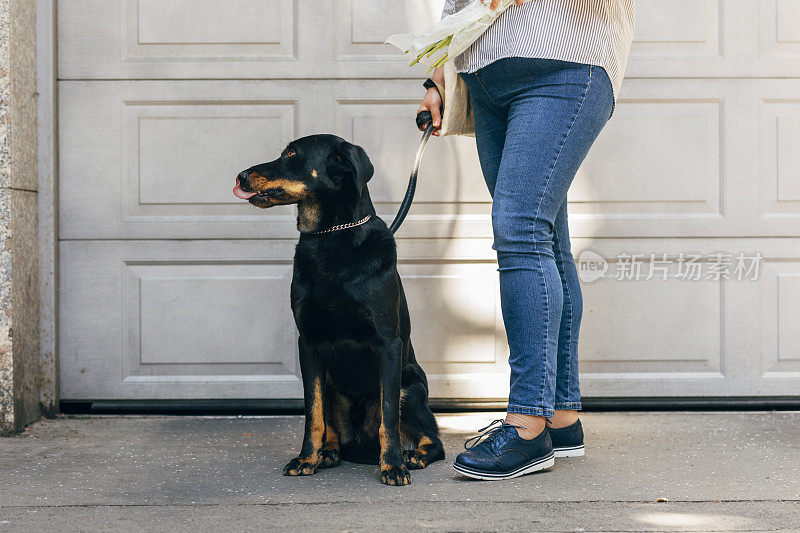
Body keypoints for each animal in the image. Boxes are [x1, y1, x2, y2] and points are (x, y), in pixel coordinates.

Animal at [233, 135, 444, 484]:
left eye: (291, 153)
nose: (240, 176)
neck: (330, 237)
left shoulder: (389, 344)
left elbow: (388, 417)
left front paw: (392, 464)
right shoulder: (308, 342)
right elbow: (313, 413)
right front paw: (307, 457)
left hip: (410, 384)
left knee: (432, 438)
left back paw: (414, 455)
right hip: (333, 382)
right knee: (333, 428)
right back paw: (328, 452)